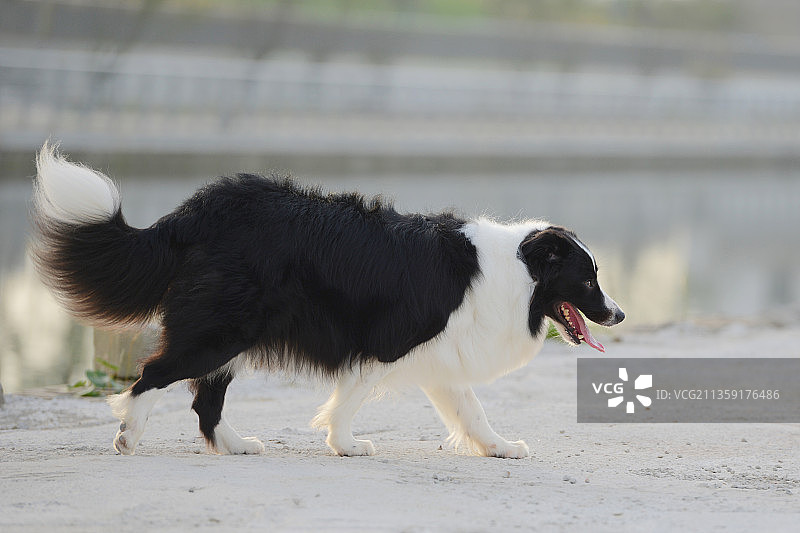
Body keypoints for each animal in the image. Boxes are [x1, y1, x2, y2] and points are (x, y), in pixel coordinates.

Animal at [31, 142, 620, 458]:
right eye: (589, 280)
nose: (618, 314)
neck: (519, 270)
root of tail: (200, 209)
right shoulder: (388, 342)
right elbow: (351, 395)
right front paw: (346, 444)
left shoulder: (440, 353)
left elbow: (470, 409)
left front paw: (499, 447)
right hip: (219, 329)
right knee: (154, 373)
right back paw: (129, 436)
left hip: (233, 333)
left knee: (205, 400)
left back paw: (237, 446)